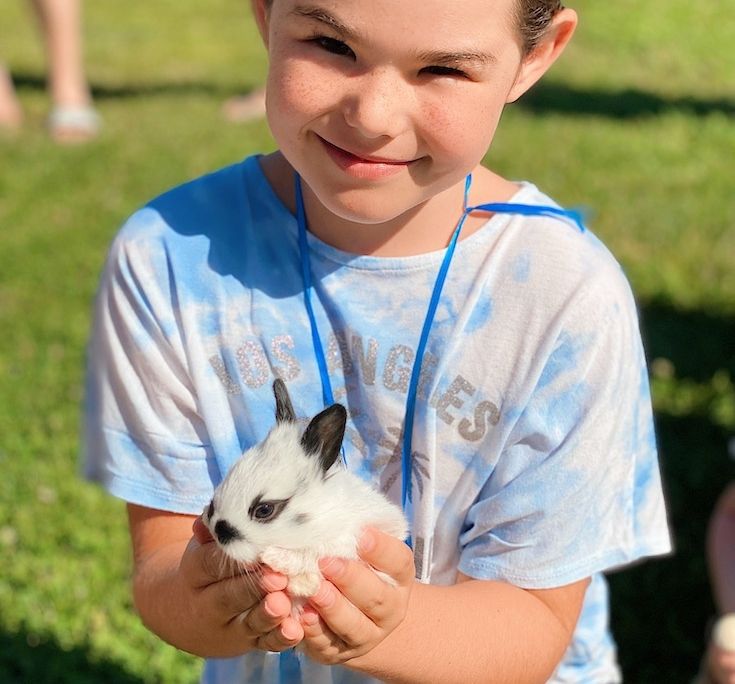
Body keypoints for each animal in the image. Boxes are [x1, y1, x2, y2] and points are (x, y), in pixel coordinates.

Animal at [201, 376, 408, 596]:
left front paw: (277, 560)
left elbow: (308, 558)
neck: (322, 515)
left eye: (264, 510)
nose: (216, 529)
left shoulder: (343, 544)